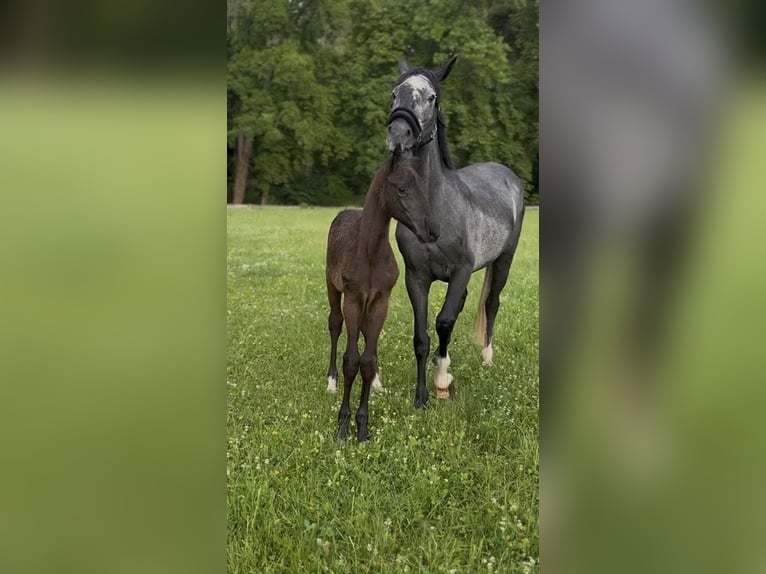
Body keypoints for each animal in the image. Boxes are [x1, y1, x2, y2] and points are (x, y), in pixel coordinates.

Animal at [325, 151, 436, 441]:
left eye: (423, 187)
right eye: (402, 188)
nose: (433, 231)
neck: (370, 253)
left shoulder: (380, 301)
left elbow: (367, 360)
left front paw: (363, 427)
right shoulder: (353, 299)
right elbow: (351, 361)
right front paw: (343, 426)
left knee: (365, 336)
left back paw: (376, 381)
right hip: (332, 287)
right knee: (334, 324)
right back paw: (330, 381)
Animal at [386, 55, 525, 408]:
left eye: (431, 97)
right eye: (395, 93)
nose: (398, 134)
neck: (433, 211)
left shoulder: (461, 270)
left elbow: (444, 321)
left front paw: (442, 380)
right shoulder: (416, 277)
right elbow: (421, 336)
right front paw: (421, 396)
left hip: (503, 261)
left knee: (491, 304)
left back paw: (487, 358)